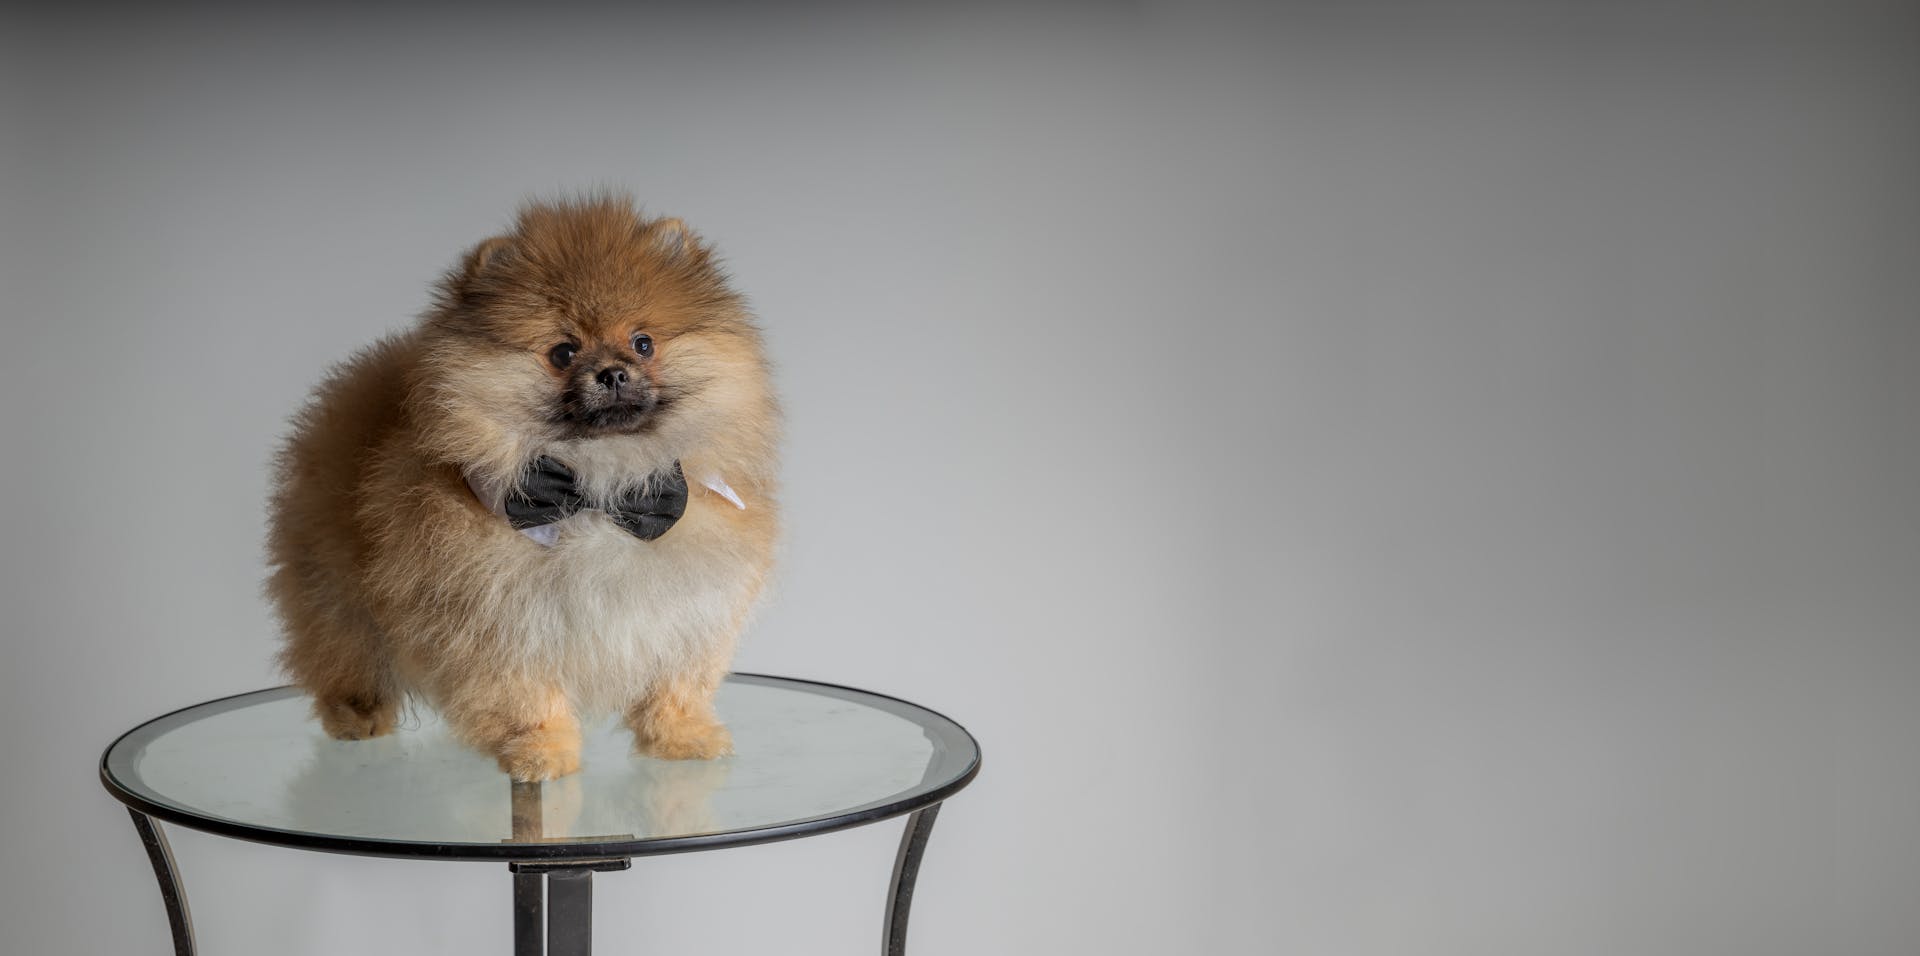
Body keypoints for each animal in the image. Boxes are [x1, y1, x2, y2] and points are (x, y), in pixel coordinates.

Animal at [266, 195, 775, 783]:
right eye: (563, 352)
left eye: (643, 343)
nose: (613, 373)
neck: (596, 486)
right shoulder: (496, 622)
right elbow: (523, 698)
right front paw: (540, 753)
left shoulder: (688, 612)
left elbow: (677, 684)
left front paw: (682, 738)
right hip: (337, 596)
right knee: (345, 649)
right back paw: (357, 716)